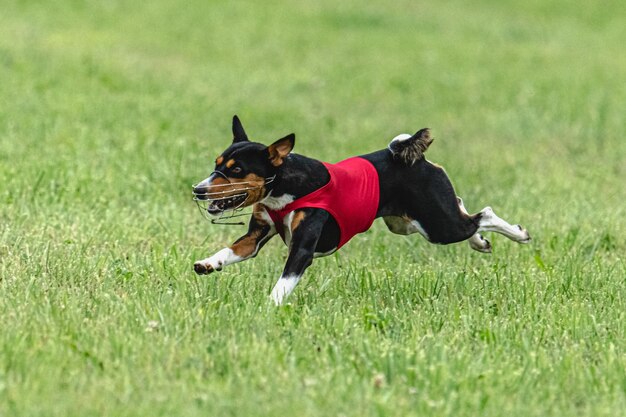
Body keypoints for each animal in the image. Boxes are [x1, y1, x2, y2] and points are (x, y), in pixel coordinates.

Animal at [193, 115, 528, 304]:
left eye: (237, 170)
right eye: (216, 164)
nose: (198, 189)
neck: (287, 189)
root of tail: (415, 158)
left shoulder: (302, 249)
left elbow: (283, 283)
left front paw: (269, 307)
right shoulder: (256, 236)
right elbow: (229, 251)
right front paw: (208, 263)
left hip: (437, 226)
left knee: (482, 215)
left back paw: (519, 234)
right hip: (408, 222)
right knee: (463, 209)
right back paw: (480, 242)